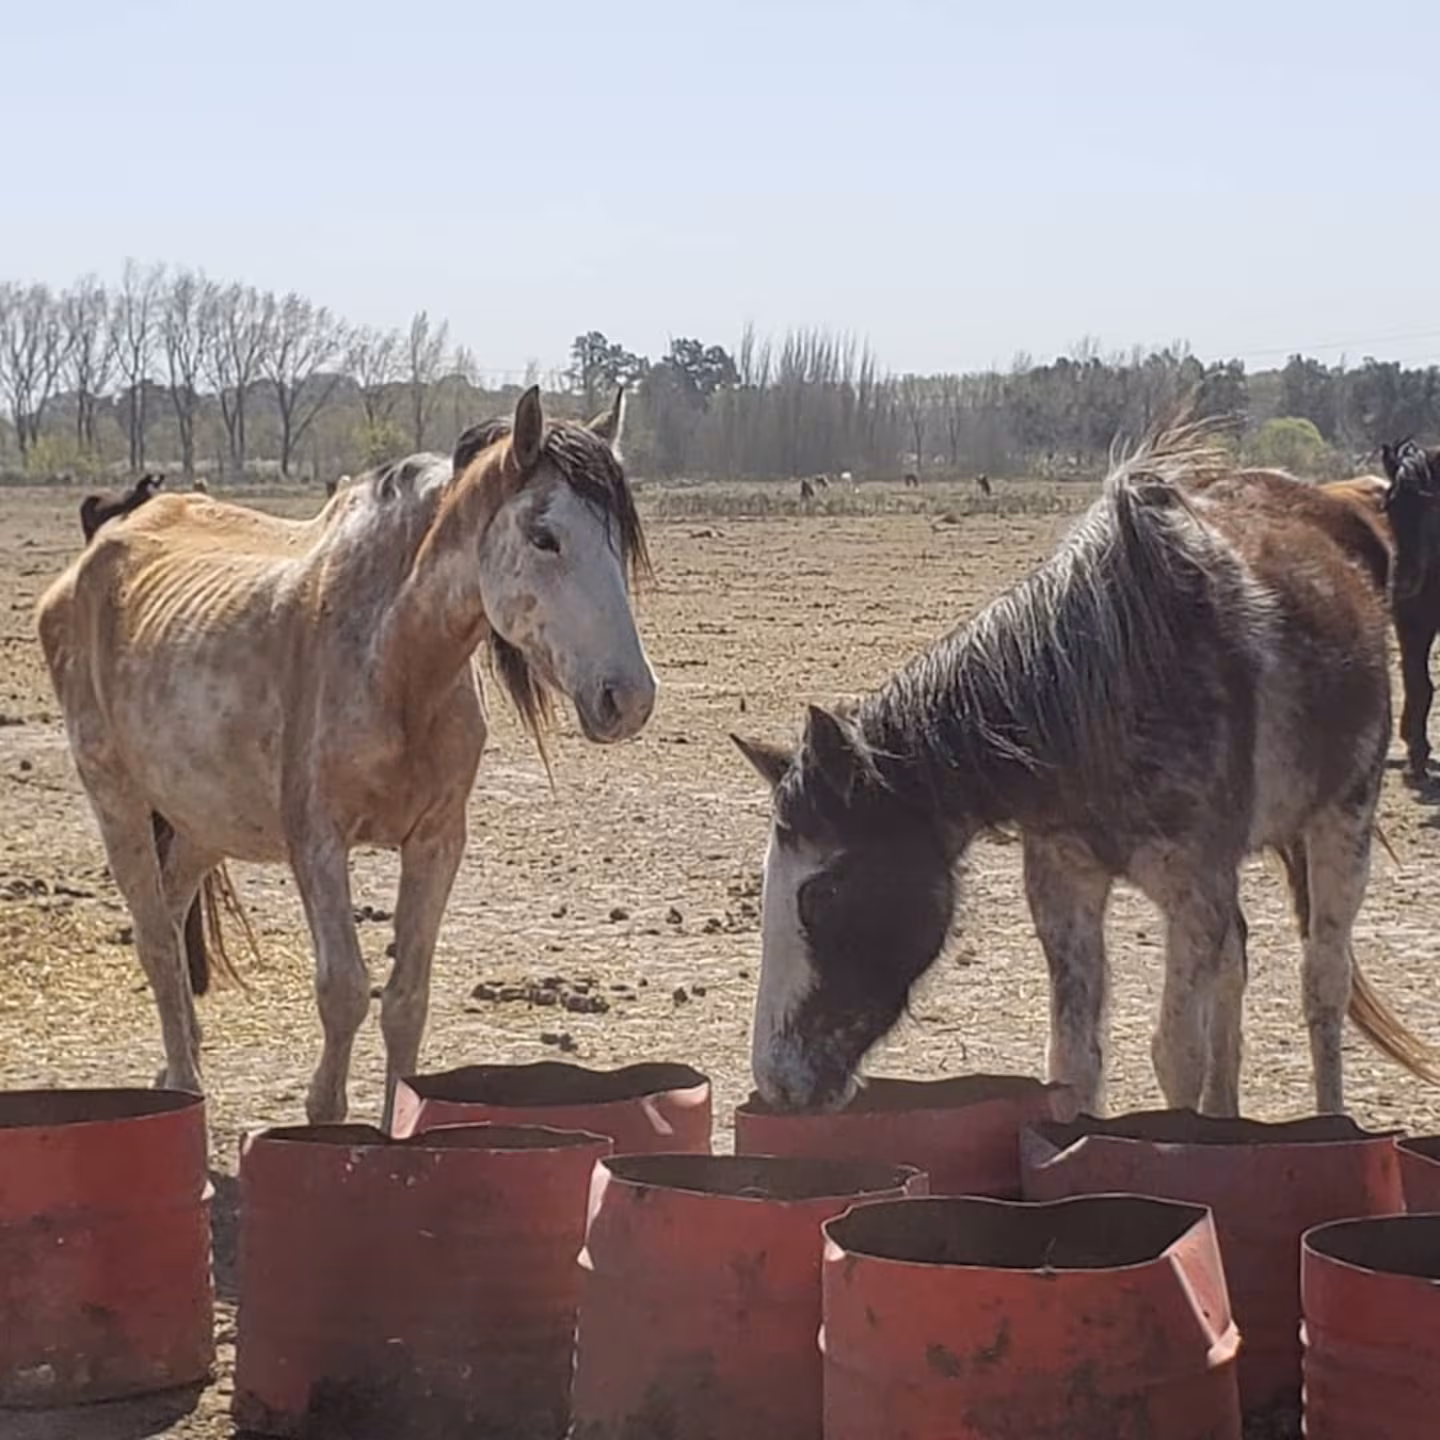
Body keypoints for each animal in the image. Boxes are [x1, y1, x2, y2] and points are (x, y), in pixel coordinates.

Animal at [37, 385, 656, 1129]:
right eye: (545, 536)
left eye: (619, 539)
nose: (630, 697)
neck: (395, 662)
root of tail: (89, 564)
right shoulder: (318, 842)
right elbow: (344, 992)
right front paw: (324, 1114)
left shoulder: (437, 841)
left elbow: (406, 1001)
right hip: (116, 798)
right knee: (156, 939)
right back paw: (183, 1088)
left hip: (203, 820)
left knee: (174, 910)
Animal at [733, 421, 1438, 1119]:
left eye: (819, 894)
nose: (777, 1082)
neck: (1108, 687)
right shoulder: (1067, 889)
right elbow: (1075, 1062)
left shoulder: (1193, 891)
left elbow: (1176, 1055)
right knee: (1236, 965)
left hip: (1342, 822)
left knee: (1323, 982)